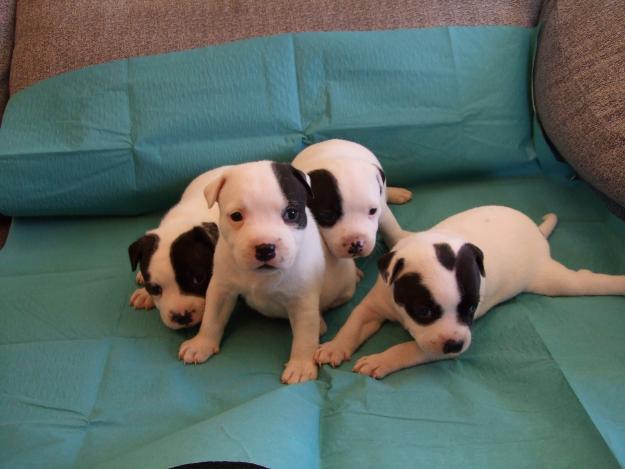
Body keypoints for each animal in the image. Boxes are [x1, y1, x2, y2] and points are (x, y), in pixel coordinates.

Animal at [178, 161, 358, 384]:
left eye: (291, 213)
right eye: (236, 216)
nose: (265, 248)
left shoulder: (302, 302)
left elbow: (304, 337)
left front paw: (300, 366)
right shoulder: (221, 289)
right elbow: (212, 317)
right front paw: (201, 343)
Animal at [314, 205, 624, 376]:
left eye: (472, 308)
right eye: (424, 310)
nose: (455, 345)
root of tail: (537, 233)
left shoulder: (438, 344)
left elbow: (408, 348)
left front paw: (381, 360)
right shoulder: (376, 304)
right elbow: (353, 324)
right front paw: (334, 347)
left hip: (550, 280)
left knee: (584, 282)